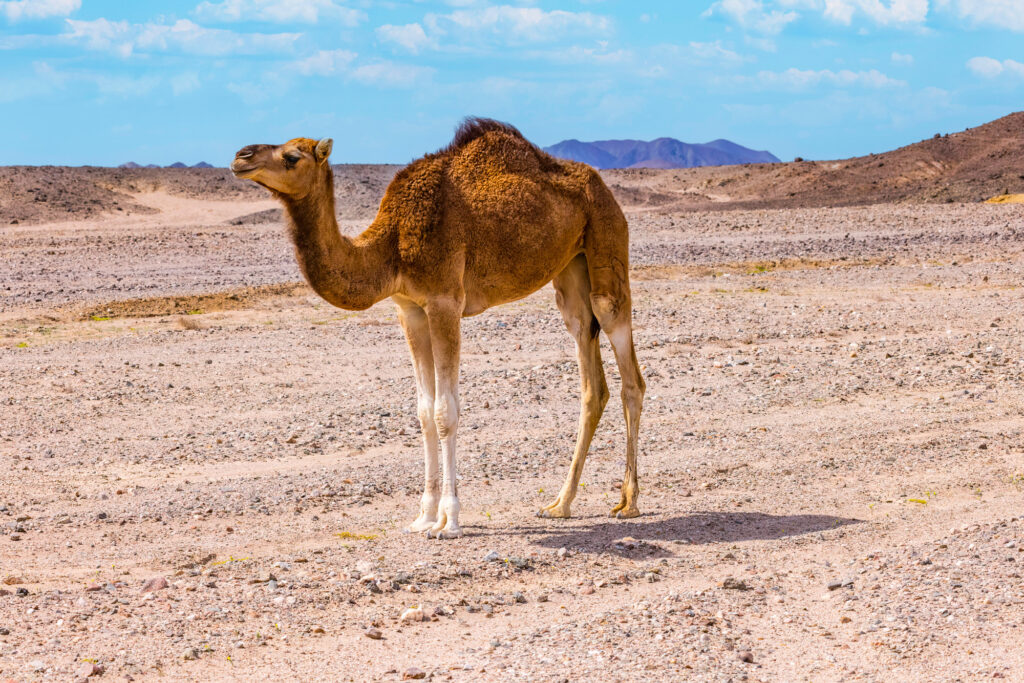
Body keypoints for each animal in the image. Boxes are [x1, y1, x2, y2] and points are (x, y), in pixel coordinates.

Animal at [234, 118, 647, 540]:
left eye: (291, 156)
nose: (240, 157)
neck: (391, 246)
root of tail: (602, 186)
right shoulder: (410, 311)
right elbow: (423, 411)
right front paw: (424, 516)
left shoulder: (445, 302)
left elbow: (445, 412)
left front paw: (449, 520)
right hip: (569, 272)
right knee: (590, 373)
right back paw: (560, 504)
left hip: (607, 241)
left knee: (628, 370)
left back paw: (628, 503)